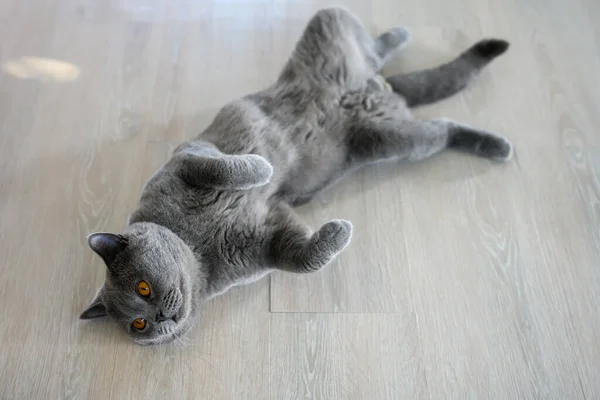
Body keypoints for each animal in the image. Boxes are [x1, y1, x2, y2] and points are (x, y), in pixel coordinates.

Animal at [79, 6, 510, 346]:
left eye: (144, 287)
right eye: (139, 324)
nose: (160, 319)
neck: (197, 246)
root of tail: (382, 91)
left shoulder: (185, 159)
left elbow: (224, 167)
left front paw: (264, 169)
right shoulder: (269, 242)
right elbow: (304, 259)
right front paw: (337, 232)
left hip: (327, 27)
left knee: (370, 47)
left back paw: (400, 34)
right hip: (389, 140)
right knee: (441, 128)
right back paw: (495, 145)